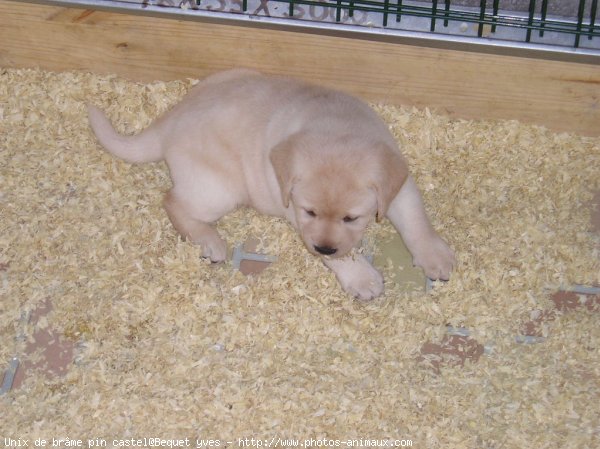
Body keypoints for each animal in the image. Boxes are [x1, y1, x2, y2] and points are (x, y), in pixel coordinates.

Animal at [88, 69, 454, 300]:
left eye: (351, 218)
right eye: (310, 212)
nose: (323, 248)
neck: (337, 128)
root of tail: (171, 120)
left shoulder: (399, 186)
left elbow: (416, 220)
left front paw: (435, 256)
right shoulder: (292, 207)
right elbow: (344, 256)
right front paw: (361, 277)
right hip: (221, 189)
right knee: (173, 201)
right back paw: (209, 242)